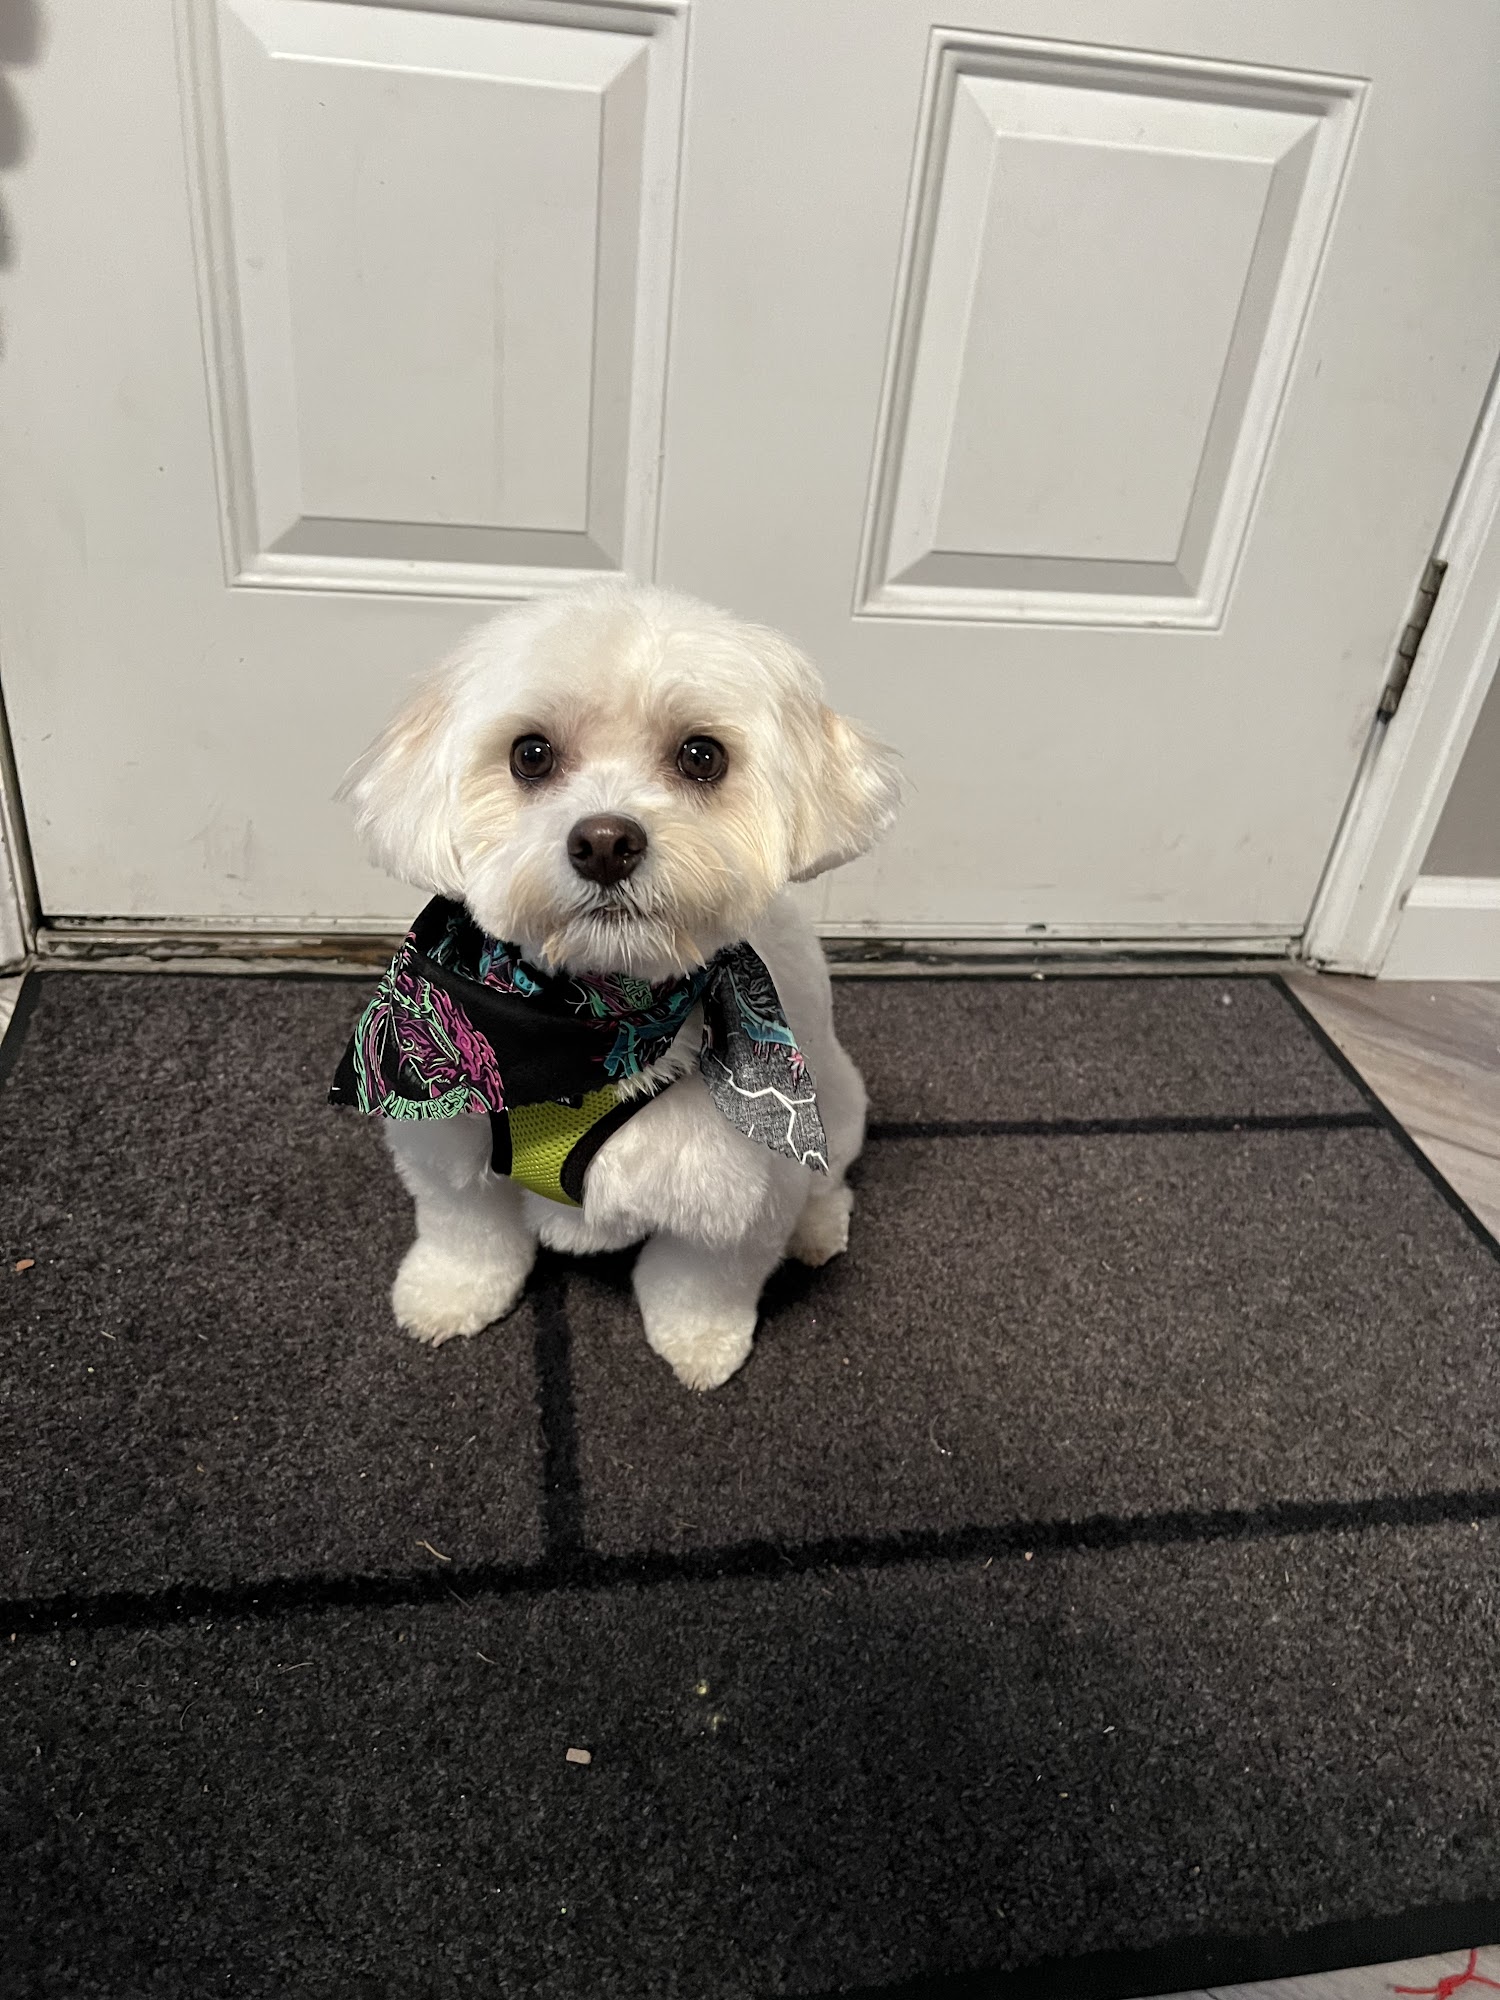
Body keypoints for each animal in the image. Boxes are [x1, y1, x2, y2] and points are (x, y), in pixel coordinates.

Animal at [339, 581, 900, 1390]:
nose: (605, 843)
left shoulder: (741, 1186)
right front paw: (449, 1292)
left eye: (701, 756)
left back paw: (817, 1229)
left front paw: (701, 1341)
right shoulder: (449, 1136)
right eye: (531, 754)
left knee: (829, 1178)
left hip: (839, 1098)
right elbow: (467, 1231)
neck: (593, 1020)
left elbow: (703, 1277)